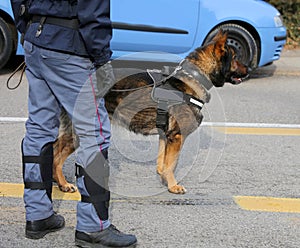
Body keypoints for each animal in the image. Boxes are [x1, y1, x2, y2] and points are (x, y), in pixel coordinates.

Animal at [53, 30, 248, 194]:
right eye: (235, 57)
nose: (249, 70)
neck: (195, 76)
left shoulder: (165, 136)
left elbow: (162, 164)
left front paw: (165, 180)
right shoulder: (177, 137)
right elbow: (172, 164)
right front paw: (173, 186)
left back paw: (58, 182)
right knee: (56, 156)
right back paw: (63, 183)